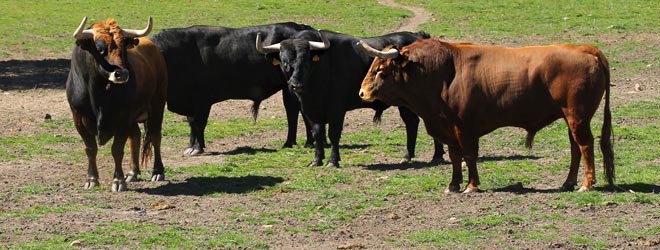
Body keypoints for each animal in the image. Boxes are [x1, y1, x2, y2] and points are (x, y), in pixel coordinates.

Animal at [66, 16, 168, 191]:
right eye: (99, 48)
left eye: (123, 47)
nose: (122, 74)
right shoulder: (78, 117)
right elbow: (90, 149)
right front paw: (91, 179)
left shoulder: (123, 118)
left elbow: (117, 149)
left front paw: (118, 181)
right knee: (135, 137)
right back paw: (133, 173)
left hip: (157, 106)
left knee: (155, 136)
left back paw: (157, 172)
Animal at [151, 22, 316, 155]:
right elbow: (192, 123)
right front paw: (192, 146)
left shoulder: (202, 101)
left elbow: (199, 123)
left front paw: (197, 148)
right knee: (297, 111)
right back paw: (301, 142)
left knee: (295, 112)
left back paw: (296, 143)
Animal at [258, 29, 444, 166]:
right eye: (284, 61)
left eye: (306, 60)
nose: (295, 85)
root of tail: (420, 36)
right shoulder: (311, 110)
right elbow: (317, 133)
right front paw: (317, 160)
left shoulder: (336, 110)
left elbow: (333, 134)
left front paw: (333, 161)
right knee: (411, 123)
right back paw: (408, 156)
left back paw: (437, 155)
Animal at [360, 38, 612, 192]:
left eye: (381, 70)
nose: (362, 92)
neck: (442, 75)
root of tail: (585, 48)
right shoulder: (449, 129)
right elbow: (455, 156)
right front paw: (453, 185)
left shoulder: (464, 128)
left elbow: (469, 156)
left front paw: (471, 186)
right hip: (571, 119)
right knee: (575, 148)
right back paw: (568, 183)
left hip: (577, 117)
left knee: (585, 145)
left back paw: (586, 184)